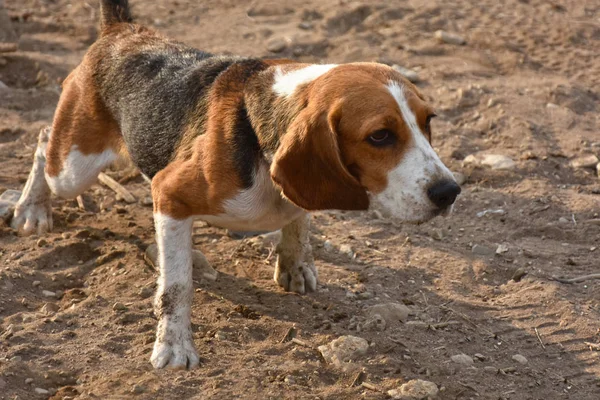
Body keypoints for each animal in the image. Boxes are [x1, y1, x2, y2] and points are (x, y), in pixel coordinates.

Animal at [10, 0, 460, 368]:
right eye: (379, 136)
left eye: (429, 121)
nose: (450, 192)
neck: (261, 134)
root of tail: (121, 30)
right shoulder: (168, 193)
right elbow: (176, 288)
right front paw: (174, 346)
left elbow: (299, 220)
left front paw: (295, 262)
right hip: (73, 168)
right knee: (43, 142)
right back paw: (31, 208)